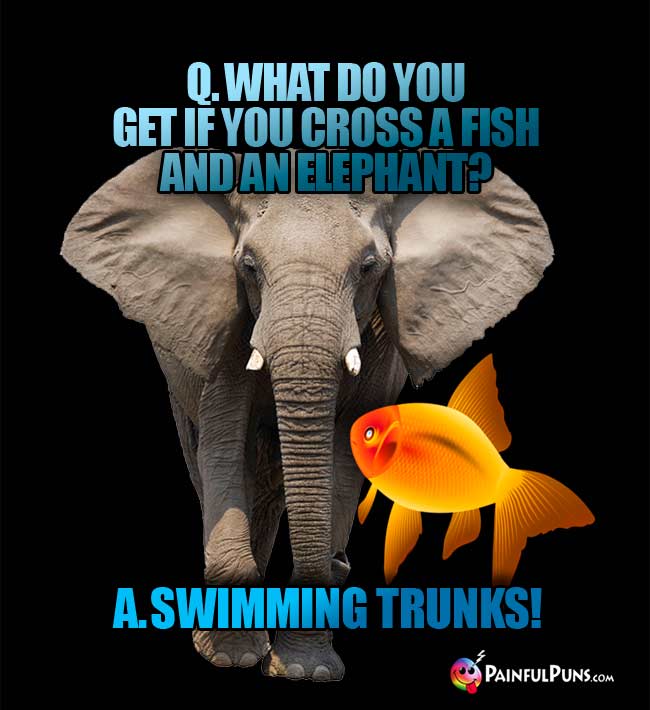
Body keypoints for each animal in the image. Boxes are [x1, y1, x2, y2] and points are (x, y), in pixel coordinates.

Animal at [61, 150, 552, 681]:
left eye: (369, 267)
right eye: (248, 266)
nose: (341, 563)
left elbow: (341, 457)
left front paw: (304, 671)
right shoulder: (230, 324)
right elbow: (224, 445)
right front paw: (231, 659)